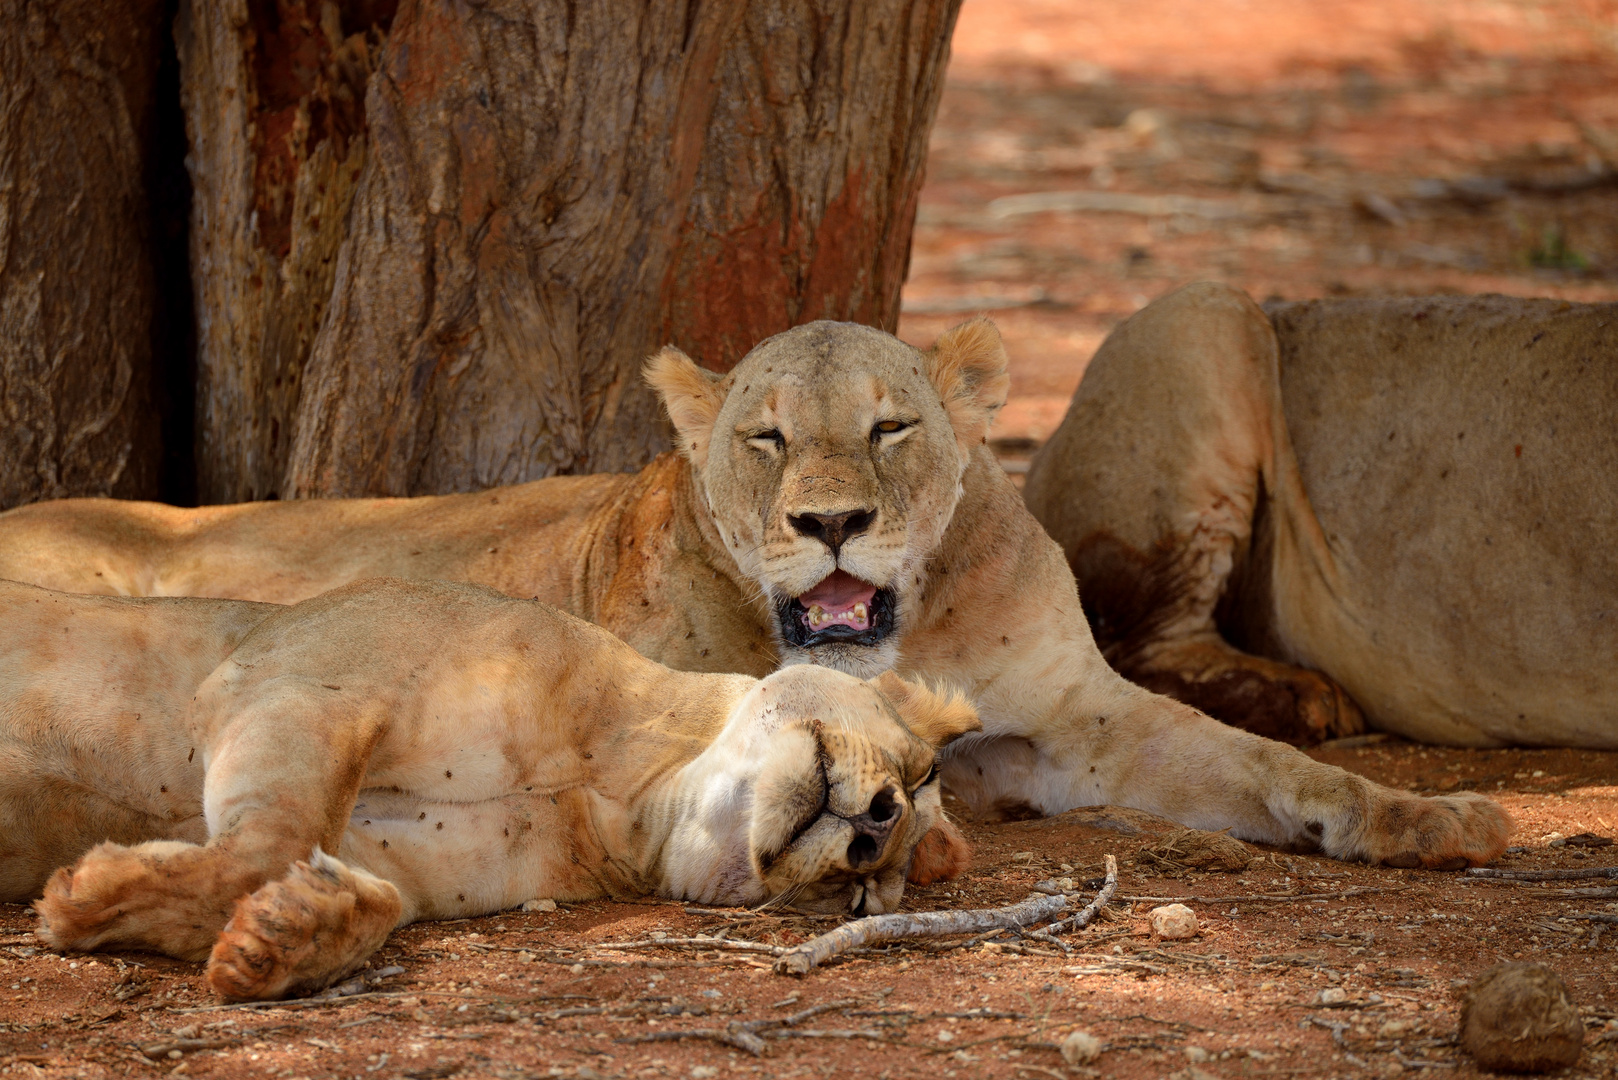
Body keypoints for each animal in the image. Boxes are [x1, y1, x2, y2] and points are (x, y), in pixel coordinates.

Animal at [0, 579, 970, 1003]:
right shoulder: (299, 679)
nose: (874, 829)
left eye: (861, 900)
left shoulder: (393, 844)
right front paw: (84, 898)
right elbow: (274, 835)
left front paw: (288, 933)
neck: (621, 799)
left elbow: (366, 893)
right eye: (918, 771)